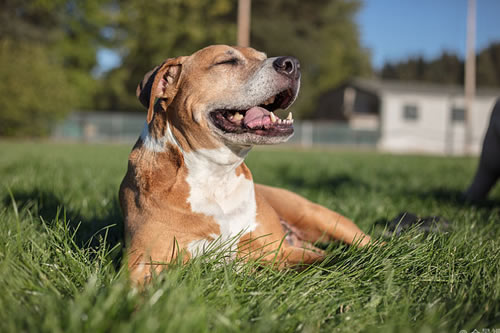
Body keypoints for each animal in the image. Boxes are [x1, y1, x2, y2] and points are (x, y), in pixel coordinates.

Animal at [119, 44, 374, 282]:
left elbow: (335, 260)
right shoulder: (140, 265)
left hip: (318, 216)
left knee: (368, 244)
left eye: (262, 57)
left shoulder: (279, 249)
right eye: (226, 61)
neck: (216, 175)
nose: (292, 64)